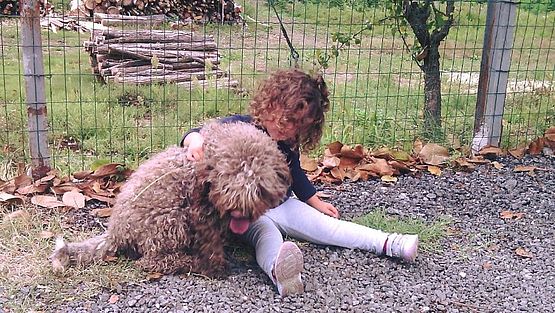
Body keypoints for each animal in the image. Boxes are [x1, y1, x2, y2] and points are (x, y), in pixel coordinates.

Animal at [51, 120, 292, 276]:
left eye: (260, 188)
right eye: (227, 186)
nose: (239, 212)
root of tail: (115, 232)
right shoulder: (200, 213)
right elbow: (210, 245)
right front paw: (214, 267)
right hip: (171, 221)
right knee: (151, 261)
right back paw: (189, 262)